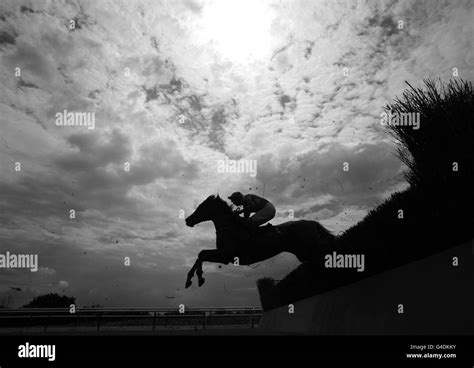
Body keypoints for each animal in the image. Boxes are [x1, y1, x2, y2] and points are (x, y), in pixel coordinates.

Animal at [182, 196, 334, 288]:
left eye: (201, 207)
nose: (187, 220)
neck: (230, 228)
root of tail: (310, 222)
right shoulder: (224, 255)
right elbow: (200, 254)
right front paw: (190, 279)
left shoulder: (226, 255)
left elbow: (202, 254)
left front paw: (198, 277)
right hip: (303, 252)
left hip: (312, 247)